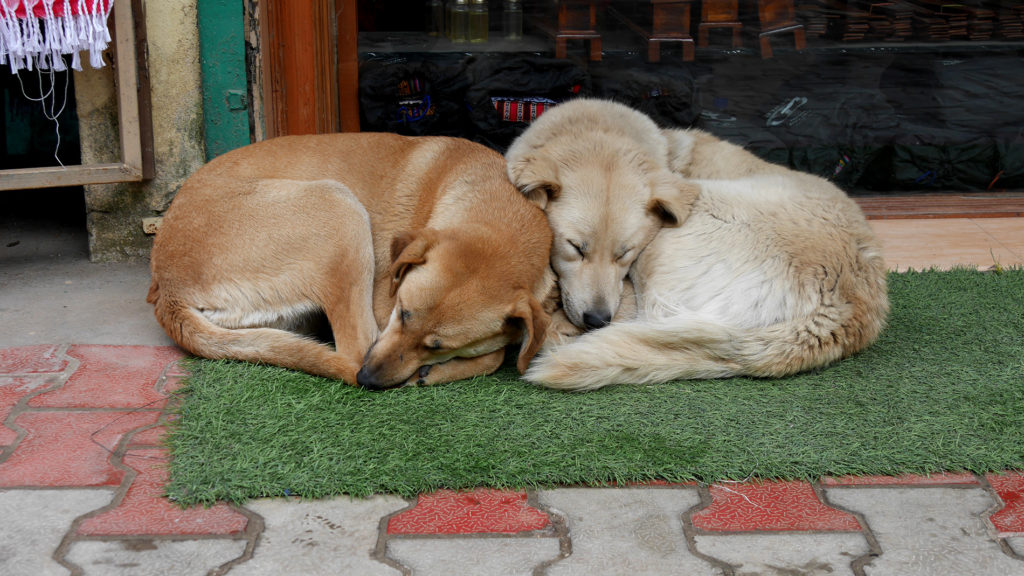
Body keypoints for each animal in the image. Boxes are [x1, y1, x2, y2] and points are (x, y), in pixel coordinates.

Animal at [146, 132, 552, 387]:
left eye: (437, 346)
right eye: (402, 312)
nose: (368, 380)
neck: (499, 209)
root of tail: (167, 290)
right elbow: (495, 357)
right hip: (339, 207)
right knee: (355, 348)